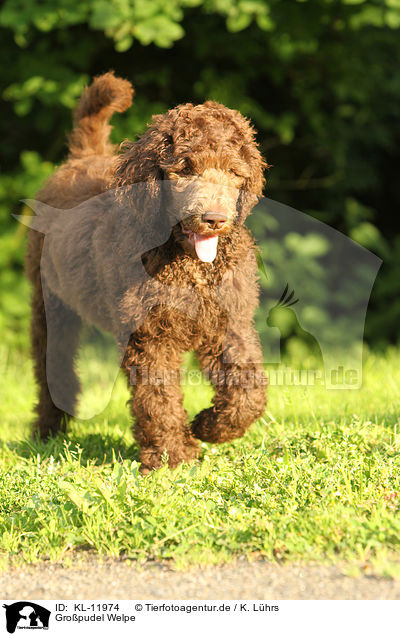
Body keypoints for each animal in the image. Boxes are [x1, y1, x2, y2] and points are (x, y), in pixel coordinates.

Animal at [25, 73, 268, 472]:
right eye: (185, 168)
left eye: (233, 172)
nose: (214, 219)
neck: (186, 262)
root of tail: (83, 157)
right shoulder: (148, 334)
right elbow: (158, 395)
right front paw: (173, 457)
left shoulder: (230, 321)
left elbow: (248, 390)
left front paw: (210, 427)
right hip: (50, 302)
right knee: (53, 365)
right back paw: (47, 430)